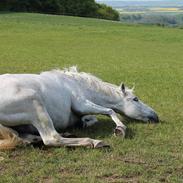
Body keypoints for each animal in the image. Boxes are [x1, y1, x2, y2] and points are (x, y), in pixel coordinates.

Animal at [0, 66, 158, 149]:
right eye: (135, 99)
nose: (155, 116)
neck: (76, 83)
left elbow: (92, 119)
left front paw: (83, 123)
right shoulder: (81, 105)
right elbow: (110, 110)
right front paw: (120, 129)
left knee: (26, 137)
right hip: (35, 104)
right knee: (52, 138)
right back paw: (94, 142)